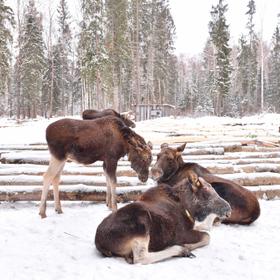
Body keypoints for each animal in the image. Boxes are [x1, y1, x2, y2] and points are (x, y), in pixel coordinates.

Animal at [95, 173, 231, 264]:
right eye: (207, 190)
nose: (228, 209)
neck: (188, 208)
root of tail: (99, 242)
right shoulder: (182, 233)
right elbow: (207, 237)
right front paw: (187, 245)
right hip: (142, 223)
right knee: (141, 258)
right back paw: (180, 250)